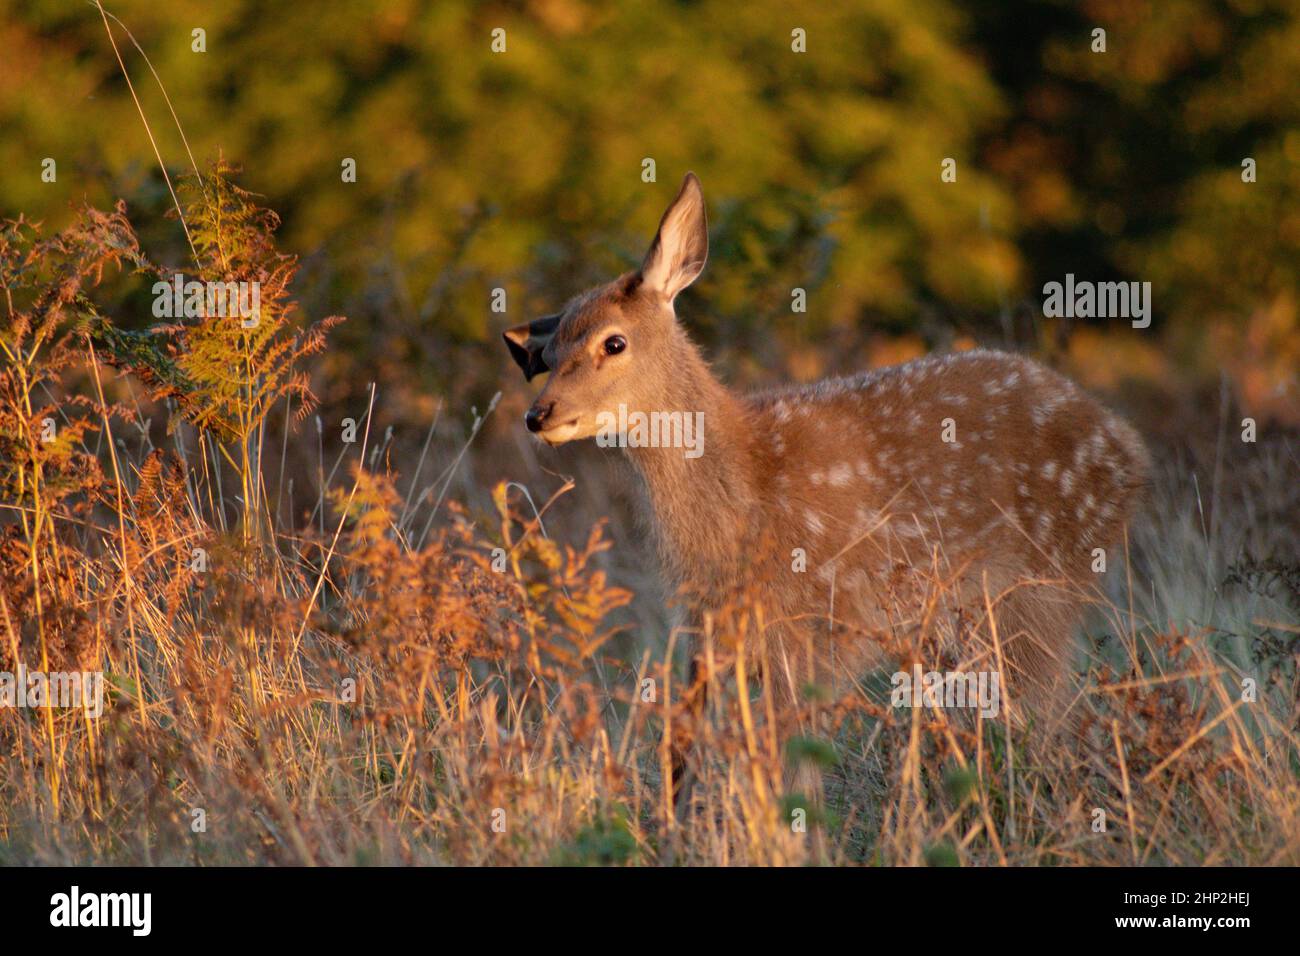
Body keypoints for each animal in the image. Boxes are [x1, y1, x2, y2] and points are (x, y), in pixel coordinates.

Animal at [499, 174, 1149, 801]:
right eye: (549, 352)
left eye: (614, 341)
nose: (539, 415)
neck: (744, 491)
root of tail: (1128, 450)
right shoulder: (708, 630)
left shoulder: (807, 629)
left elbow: (795, 773)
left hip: (1041, 593)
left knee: (1049, 722)